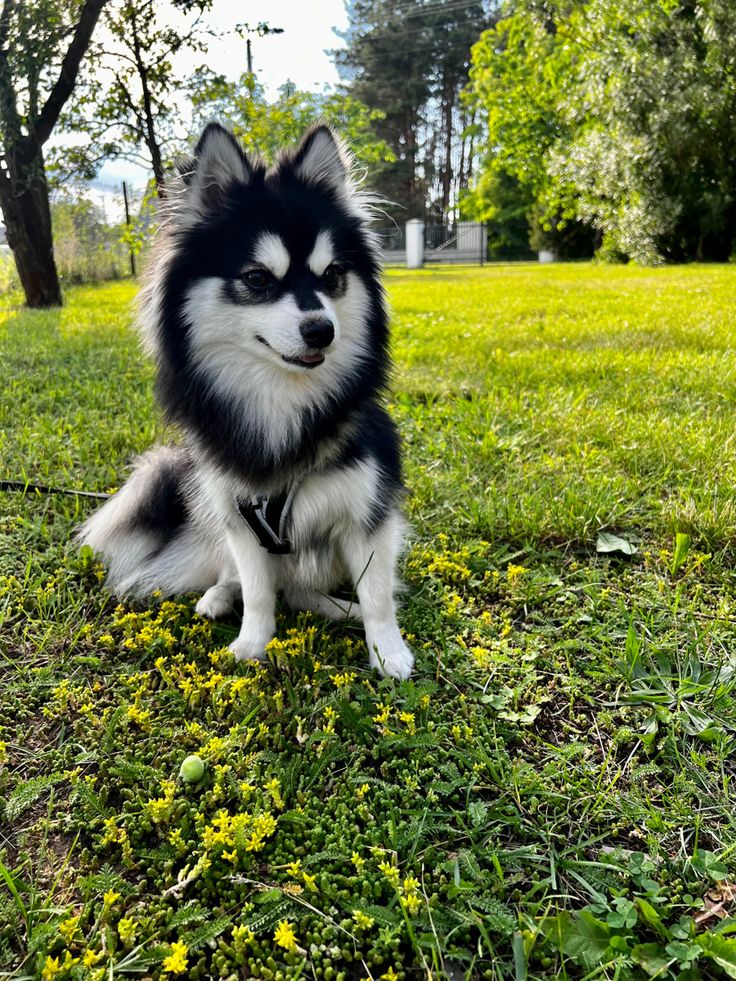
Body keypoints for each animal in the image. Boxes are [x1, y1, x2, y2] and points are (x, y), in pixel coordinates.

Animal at [82, 122, 414, 680]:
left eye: (332, 276)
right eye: (258, 278)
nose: (322, 331)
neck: (280, 399)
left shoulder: (365, 512)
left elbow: (375, 594)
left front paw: (387, 651)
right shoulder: (239, 516)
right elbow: (259, 590)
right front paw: (253, 644)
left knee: (302, 590)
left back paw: (337, 607)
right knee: (253, 580)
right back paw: (220, 595)